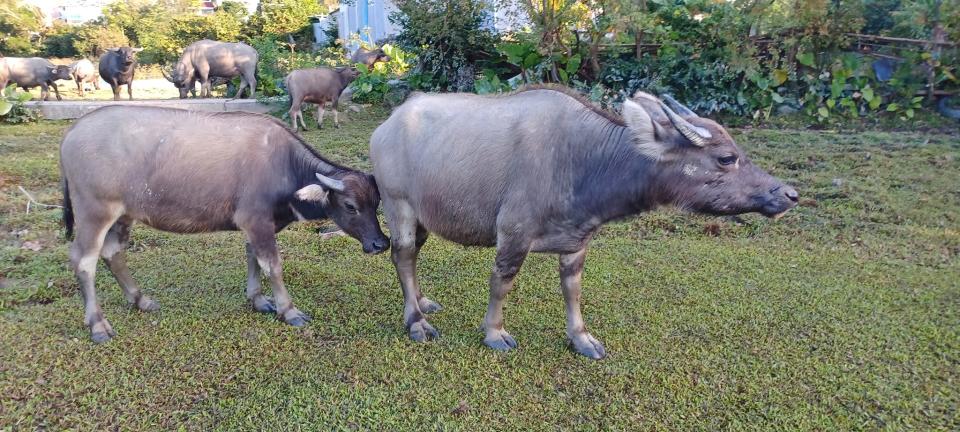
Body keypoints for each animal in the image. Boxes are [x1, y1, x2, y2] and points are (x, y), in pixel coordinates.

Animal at [62, 105, 390, 344]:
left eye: (377, 202)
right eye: (350, 206)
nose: (381, 243)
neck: (284, 165)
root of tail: (73, 133)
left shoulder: (256, 226)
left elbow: (253, 257)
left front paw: (258, 300)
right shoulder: (256, 220)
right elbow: (273, 265)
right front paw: (288, 310)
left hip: (123, 215)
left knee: (113, 252)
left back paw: (140, 300)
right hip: (95, 212)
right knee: (84, 261)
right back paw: (98, 325)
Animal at [372, 86, 800, 360]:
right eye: (726, 158)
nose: (789, 194)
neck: (583, 160)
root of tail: (388, 125)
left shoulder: (578, 241)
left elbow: (572, 290)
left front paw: (580, 338)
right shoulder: (513, 234)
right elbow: (501, 283)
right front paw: (494, 332)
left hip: (424, 215)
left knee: (415, 254)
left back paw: (422, 301)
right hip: (398, 205)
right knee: (403, 256)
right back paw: (416, 321)